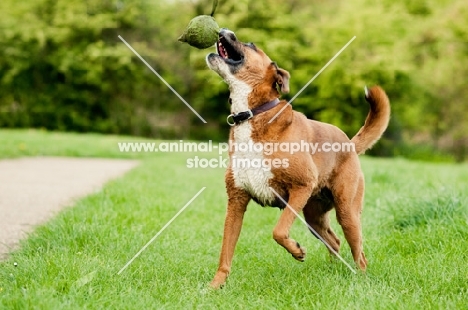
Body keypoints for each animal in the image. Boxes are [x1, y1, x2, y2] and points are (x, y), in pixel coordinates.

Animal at [206, 28, 392, 288]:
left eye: (251, 44)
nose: (225, 30)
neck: (253, 115)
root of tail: (349, 144)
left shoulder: (300, 188)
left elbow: (279, 231)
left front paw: (296, 250)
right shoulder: (236, 202)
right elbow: (225, 251)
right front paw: (216, 286)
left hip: (347, 213)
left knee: (359, 253)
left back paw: (361, 280)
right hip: (314, 218)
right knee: (334, 241)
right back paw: (333, 271)